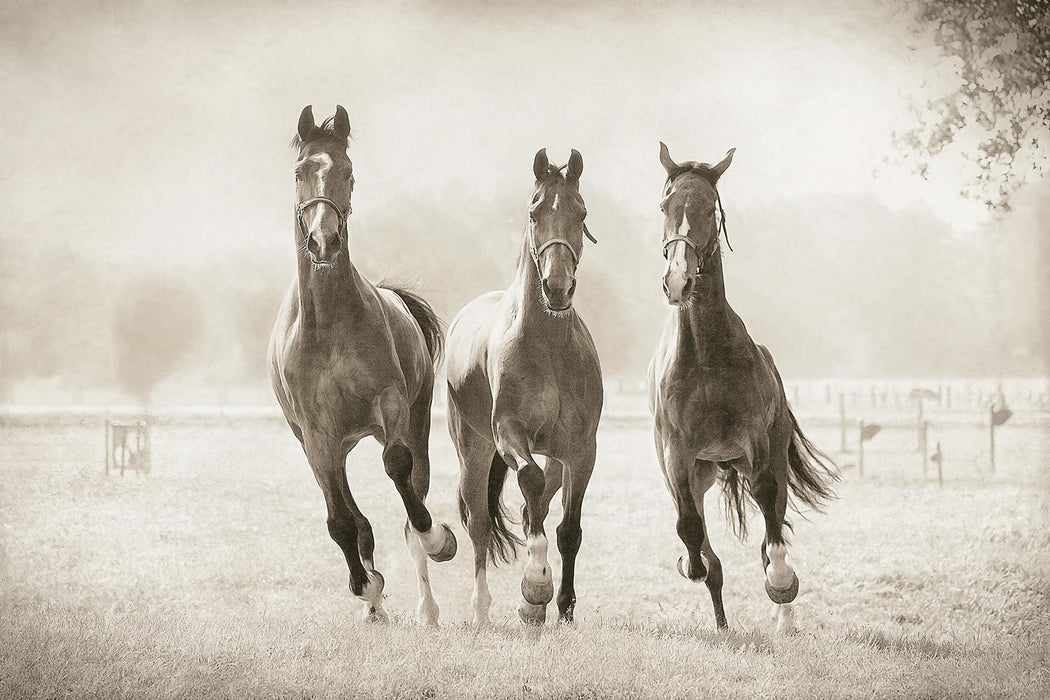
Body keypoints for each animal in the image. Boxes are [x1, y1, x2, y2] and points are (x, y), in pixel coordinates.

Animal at [266, 105, 455, 629]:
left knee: (412, 496)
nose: (323, 241)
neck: (328, 323)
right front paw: (365, 587)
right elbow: (340, 522)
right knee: (356, 518)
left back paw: (428, 607)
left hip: (415, 419)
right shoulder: (317, 435)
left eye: (348, 173)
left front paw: (439, 538)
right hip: (332, 444)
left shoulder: (390, 405)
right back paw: (373, 602)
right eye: (300, 172)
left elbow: (398, 470)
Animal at [445, 149, 609, 629]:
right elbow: (528, 482)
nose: (557, 288)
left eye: (581, 212)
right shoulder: (509, 433)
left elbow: (568, 528)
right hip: (475, 450)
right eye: (535, 212)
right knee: (480, 522)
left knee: (534, 506)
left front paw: (563, 606)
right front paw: (535, 586)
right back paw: (482, 610)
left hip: (553, 455)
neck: (549, 347)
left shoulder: (581, 450)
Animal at [642, 142, 839, 633]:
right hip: (703, 470)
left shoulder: (755, 442)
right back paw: (721, 623)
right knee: (705, 539)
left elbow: (769, 511)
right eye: (665, 205)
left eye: (710, 208)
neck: (706, 353)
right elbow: (689, 527)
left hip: (759, 457)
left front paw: (781, 581)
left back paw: (783, 614)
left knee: (775, 522)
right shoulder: (677, 454)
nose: (678, 280)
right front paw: (690, 564)